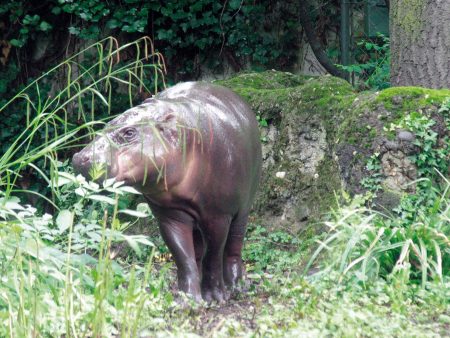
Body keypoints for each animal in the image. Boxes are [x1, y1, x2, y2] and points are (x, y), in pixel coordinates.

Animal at [72, 81, 262, 302]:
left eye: (129, 133)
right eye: (105, 126)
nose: (79, 158)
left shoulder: (218, 216)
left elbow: (213, 256)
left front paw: (214, 297)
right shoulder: (170, 215)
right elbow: (183, 256)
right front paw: (187, 300)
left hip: (243, 208)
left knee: (233, 246)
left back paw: (236, 286)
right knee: (197, 252)